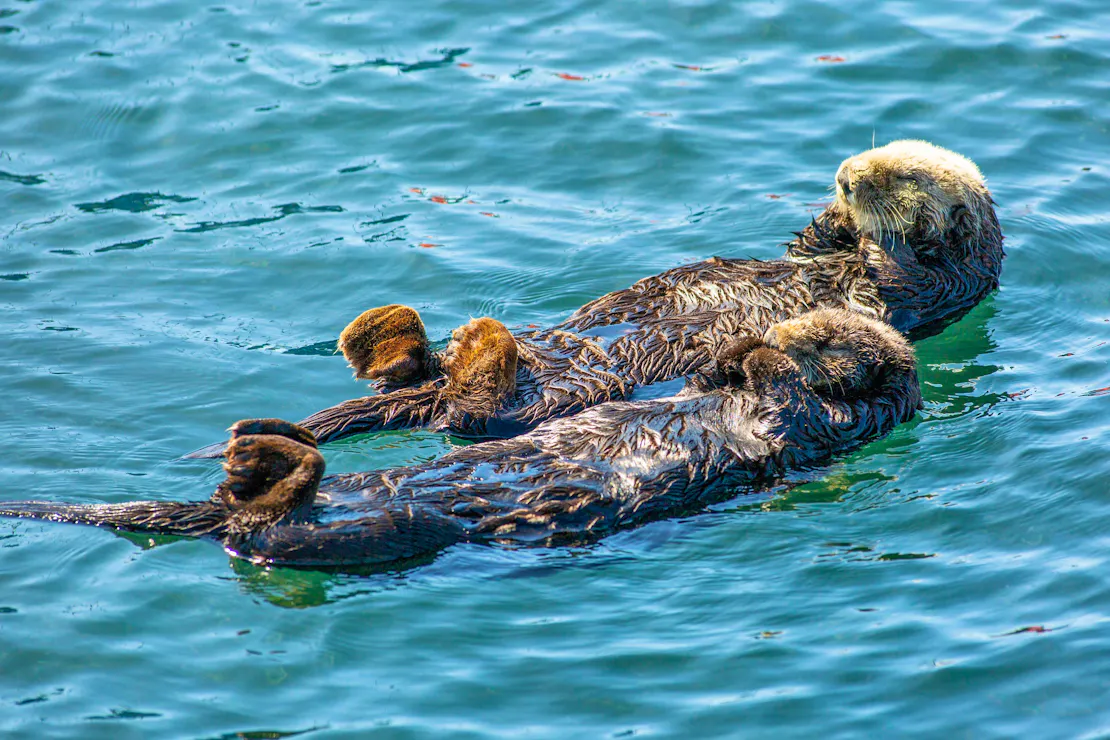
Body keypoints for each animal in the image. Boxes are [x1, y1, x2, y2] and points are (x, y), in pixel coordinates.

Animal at [3, 310, 921, 568]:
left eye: (825, 339)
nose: (790, 334)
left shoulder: (815, 424)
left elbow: (785, 401)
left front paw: (773, 355)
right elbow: (718, 378)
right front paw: (741, 347)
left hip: (388, 532)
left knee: (271, 530)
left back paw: (268, 458)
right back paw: (263, 436)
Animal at [184, 140, 997, 458]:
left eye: (899, 175)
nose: (847, 174)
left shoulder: (935, 290)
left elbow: (895, 276)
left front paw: (872, 231)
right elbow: (806, 249)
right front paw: (828, 219)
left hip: (550, 397)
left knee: (467, 416)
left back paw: (477, 349)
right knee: (415, 380)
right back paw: (386, 337)